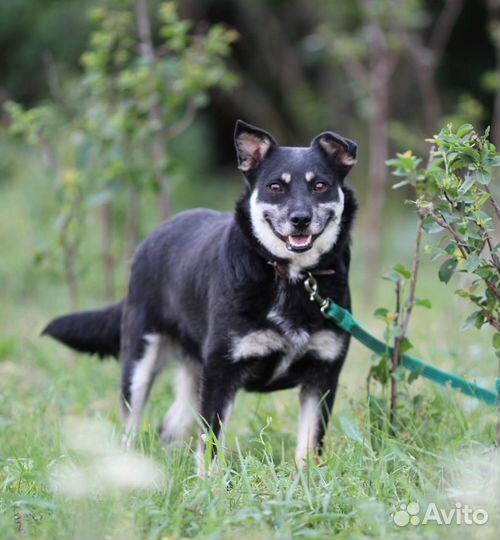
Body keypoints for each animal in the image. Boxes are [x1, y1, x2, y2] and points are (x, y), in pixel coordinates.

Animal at [42, 121, 356, 468]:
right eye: (275, 187)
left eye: (320, 186)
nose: (300, 219)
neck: (291, 277)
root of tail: (151, 240)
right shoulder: (221, 370)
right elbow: (211, 441)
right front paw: (210, 479)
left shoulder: (323, 375)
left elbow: (310, 444)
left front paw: (306, 477)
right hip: (140, 361)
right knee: (130, 426)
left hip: (193, 374)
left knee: (169, 427)